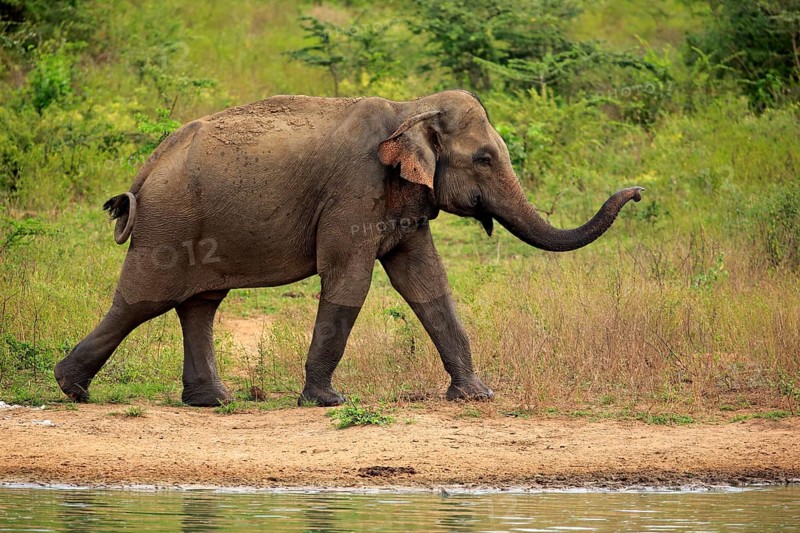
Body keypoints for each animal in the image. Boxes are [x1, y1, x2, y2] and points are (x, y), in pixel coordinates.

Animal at [54, 90, 643, 407]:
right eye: (483, 159)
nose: (637, 191)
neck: (411, 109)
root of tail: (147, 166)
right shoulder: (354, 190)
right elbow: (349, 280)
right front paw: (326, 402)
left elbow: (426, 283)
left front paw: (477, 397)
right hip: (169, 223)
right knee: (141, 300)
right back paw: (71, 389)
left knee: (200, 304)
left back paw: (212, 401)